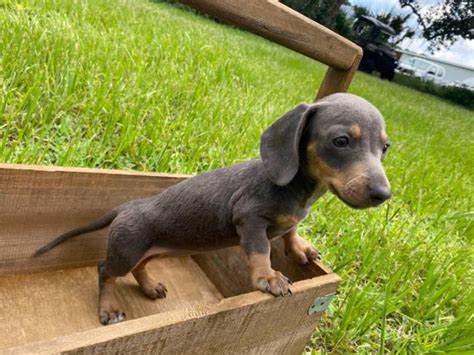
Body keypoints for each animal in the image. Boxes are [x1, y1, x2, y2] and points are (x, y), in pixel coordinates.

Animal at [32, 94, 388, 326]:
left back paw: (149, 286)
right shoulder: (249, 218)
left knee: (138, 267)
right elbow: (260, 250)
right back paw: (108, 308)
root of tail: (129, 205)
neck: (299, 191)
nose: (384, 194)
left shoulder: (288, 219)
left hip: (151, 248)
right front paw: (268, 277)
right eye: (341, 141)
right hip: (127, 248)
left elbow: (291, 231)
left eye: (385, 147)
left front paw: (299, 246)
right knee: (105, 270)